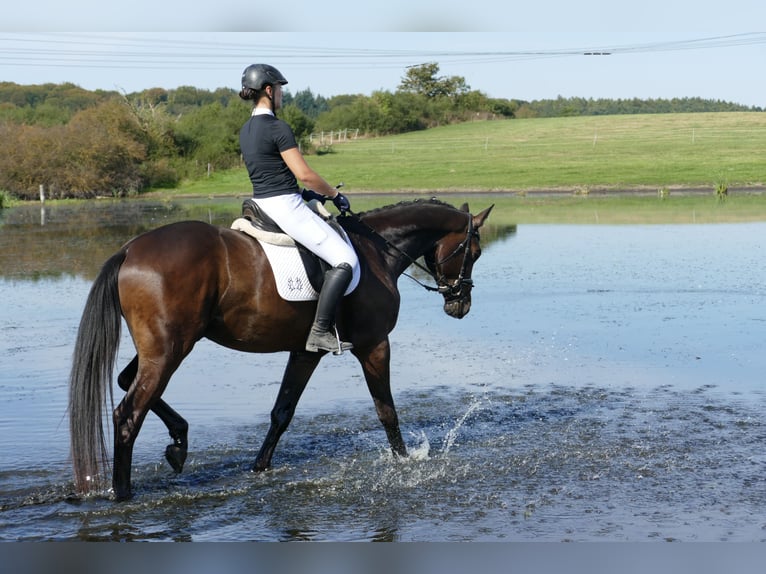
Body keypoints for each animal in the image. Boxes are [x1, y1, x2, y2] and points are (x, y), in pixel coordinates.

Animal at [70, 198, 492, 500]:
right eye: (473, 252)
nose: (461, 304)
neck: (377, 252)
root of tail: (129, 250)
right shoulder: (374, 345)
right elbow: (386, 410)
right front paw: (405, 463)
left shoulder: (306, 352)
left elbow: (281, 412)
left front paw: (259, 468)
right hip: (170, 350)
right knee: (128, 414)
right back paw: (123, 493)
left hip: (162, 348)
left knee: (126, 381)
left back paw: (178, 442)